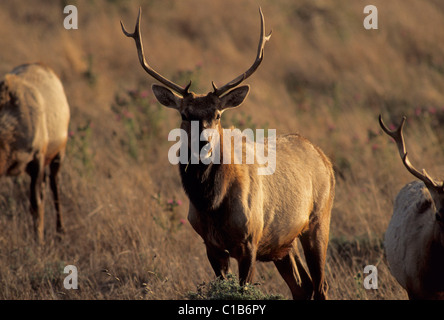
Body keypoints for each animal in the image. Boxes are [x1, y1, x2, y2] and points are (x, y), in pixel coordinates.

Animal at [0, 62, 70, 242]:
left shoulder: (37, 158)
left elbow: (35, 204)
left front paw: (38, 241)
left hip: (58, 154)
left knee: (54, 185)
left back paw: (61, 232)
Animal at [119, 8, 334, 300]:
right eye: (184, 114)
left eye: (218, 115)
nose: (203, 143)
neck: (213, 205)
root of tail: (325, 159)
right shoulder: (211, 245)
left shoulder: (250, 240)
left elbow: (242, 289)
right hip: (284, 242)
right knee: (304, 286)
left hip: (319, 220)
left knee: (321, 286)